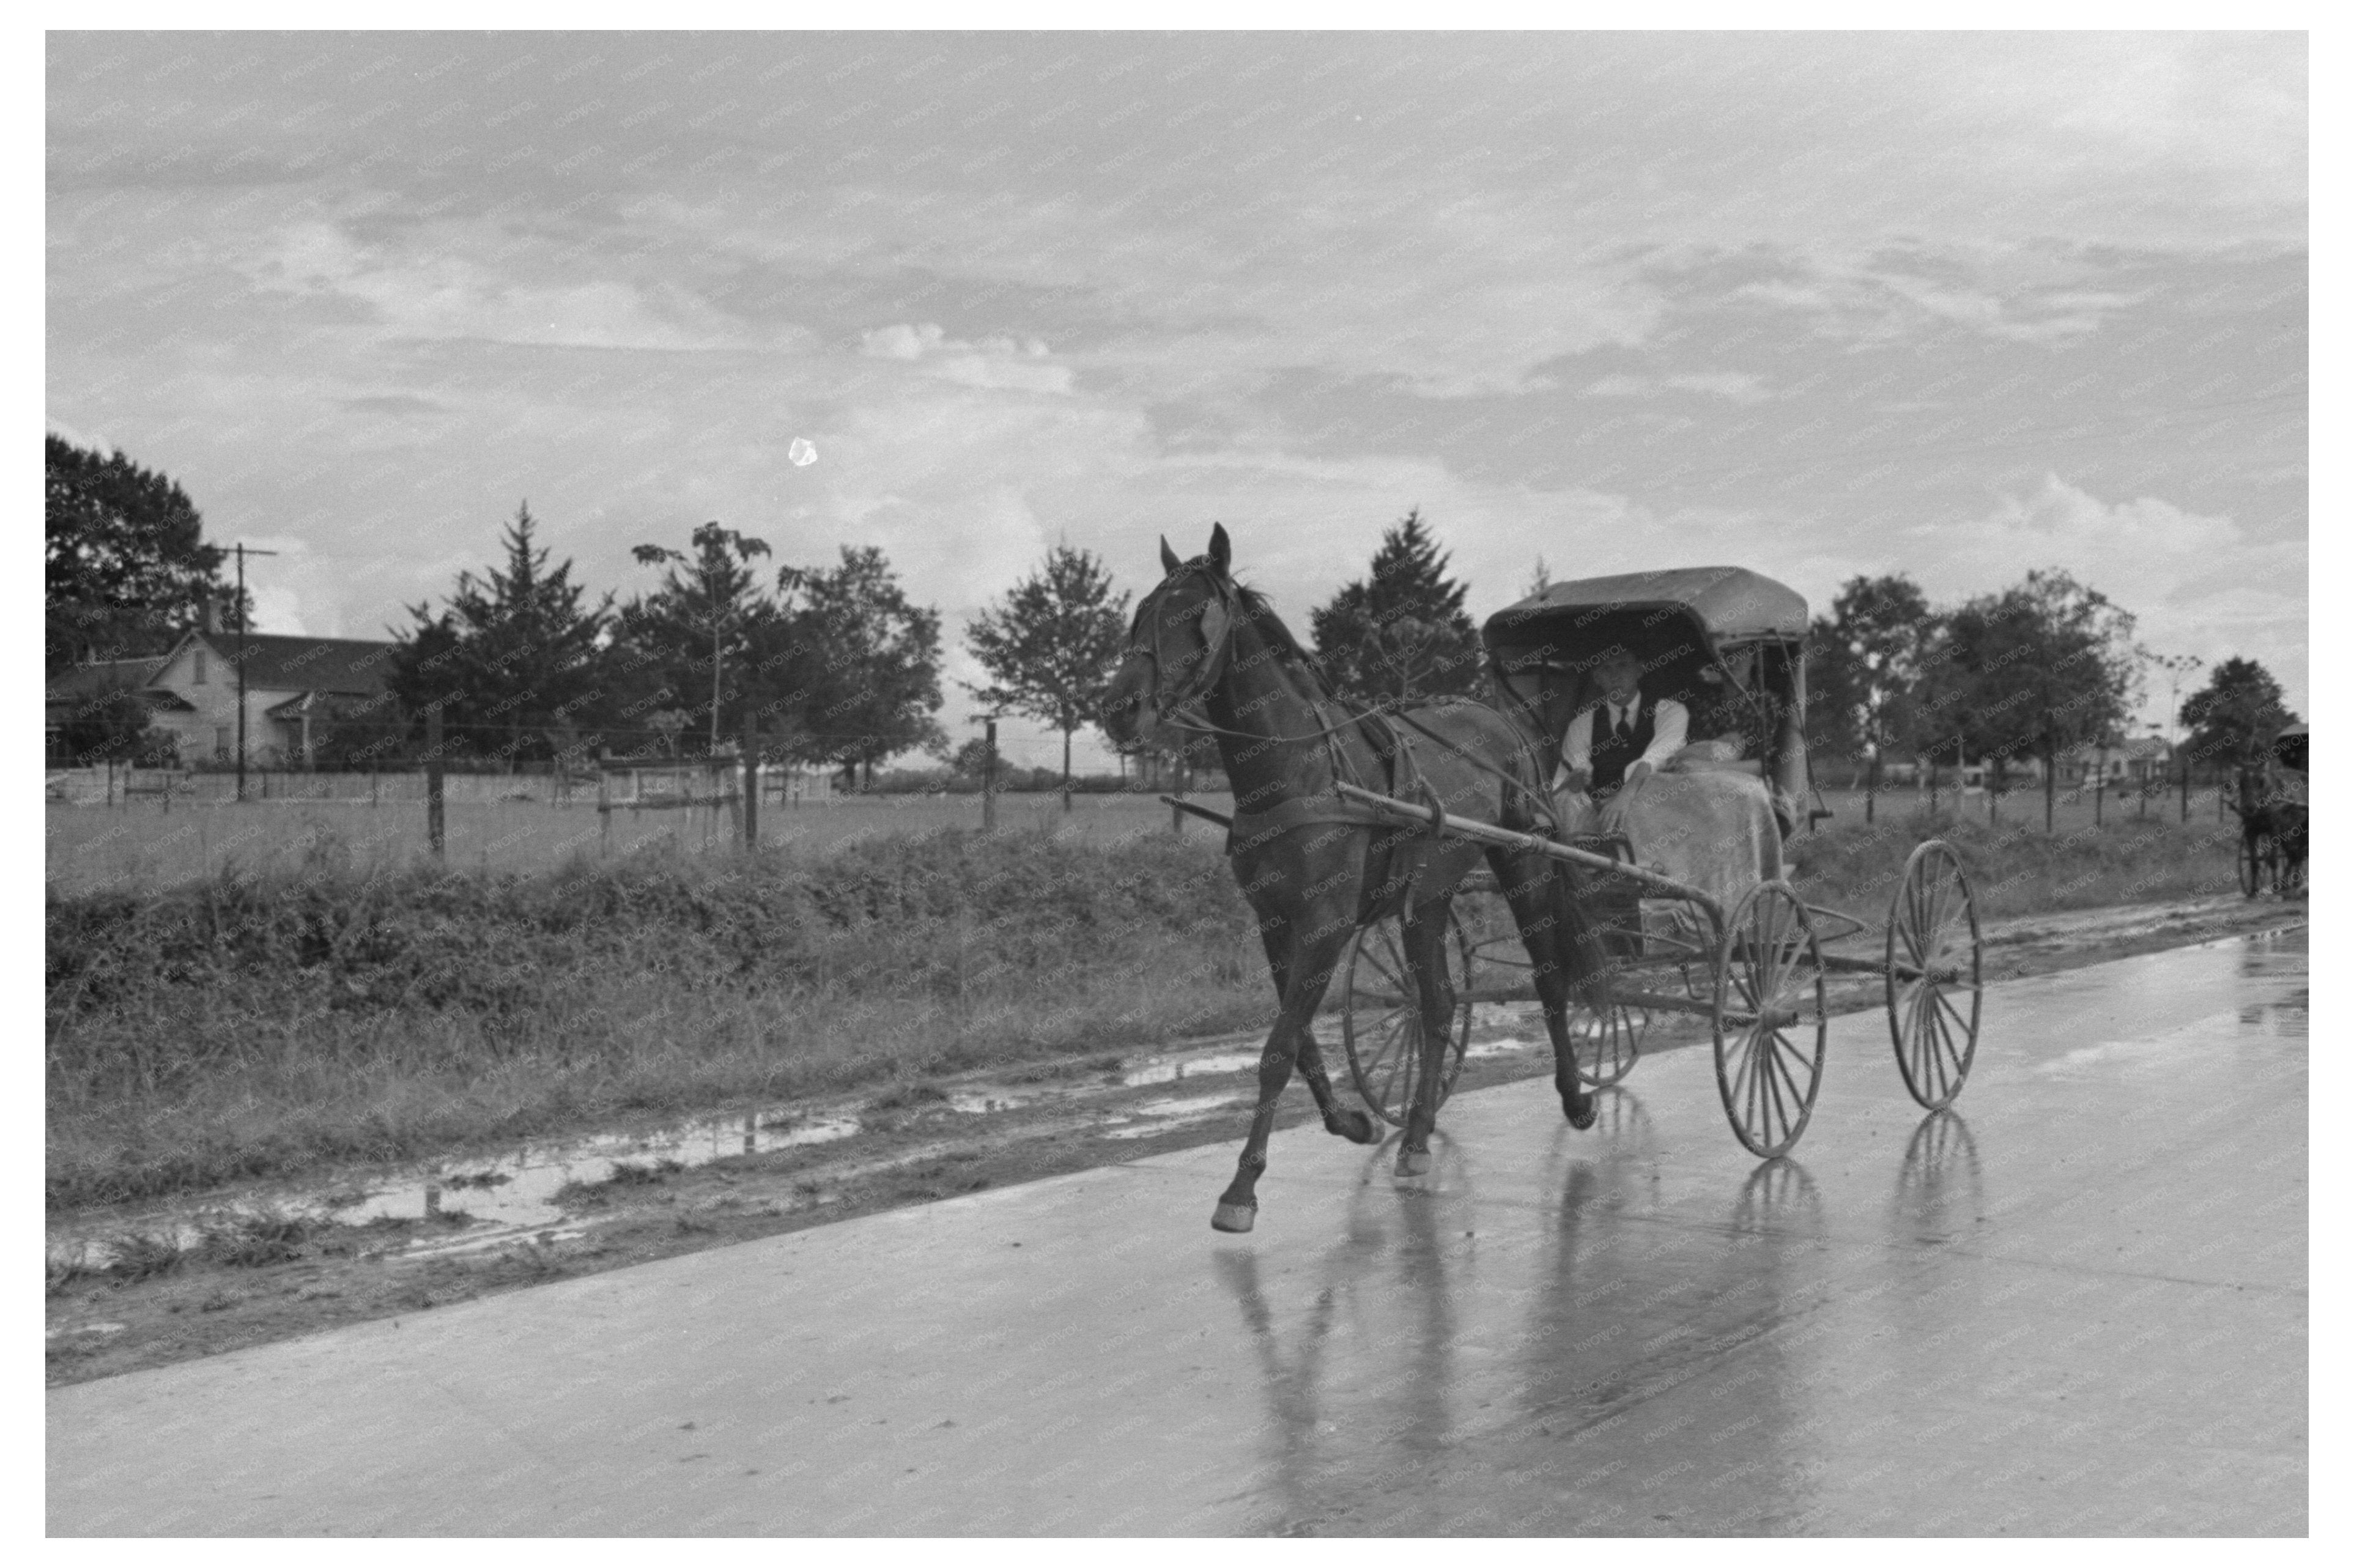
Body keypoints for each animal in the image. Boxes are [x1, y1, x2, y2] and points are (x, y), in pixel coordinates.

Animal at [1101, 525, 1619, 1233]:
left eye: (1194, 616)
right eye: (1141, 613)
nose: (1119, 708)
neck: (1301, 770)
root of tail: (1504, 720)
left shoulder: (1326, 923)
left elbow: (1278, 1046)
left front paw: (1241, 1188)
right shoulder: (1275, 922)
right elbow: (1300, 1044)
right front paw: (1352, 1121)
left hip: (1526, 861)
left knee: (1548, 979)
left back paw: (1574, 1097)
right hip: (1429, 893)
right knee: (1438, 1003)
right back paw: (1418, 1135)